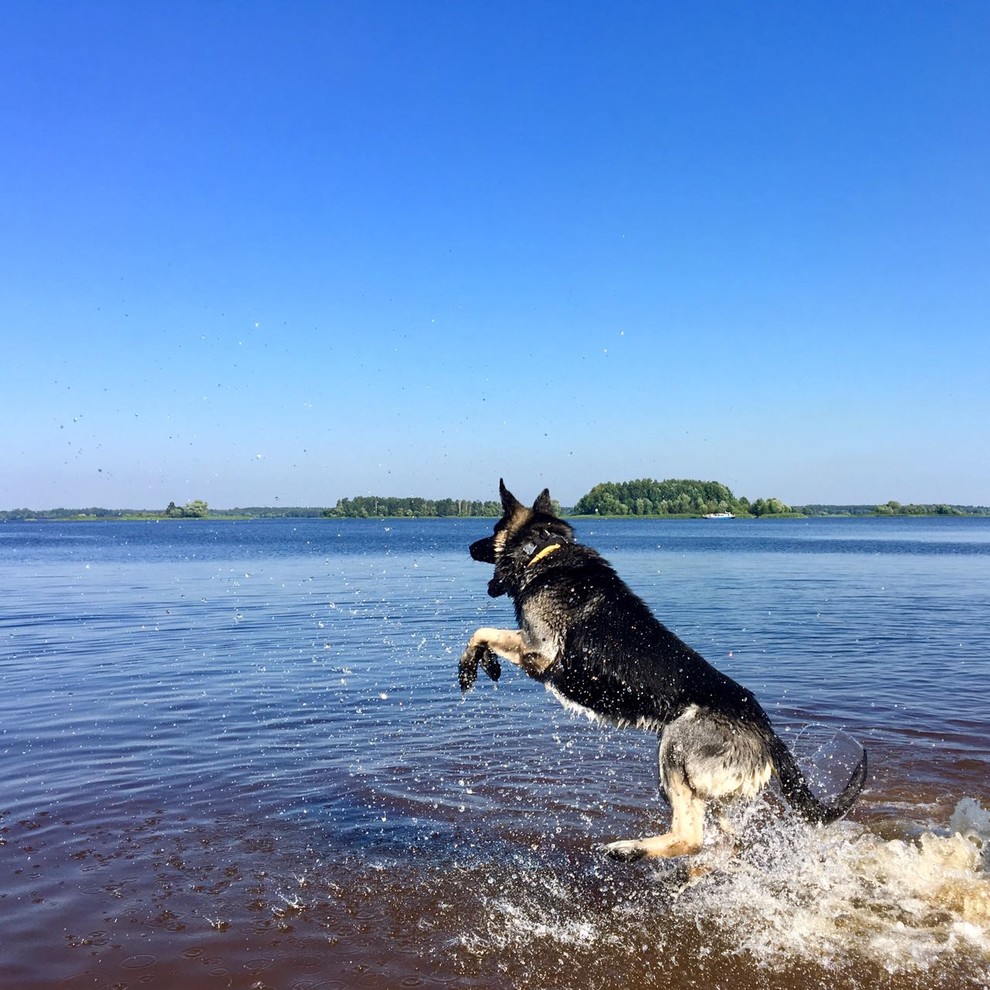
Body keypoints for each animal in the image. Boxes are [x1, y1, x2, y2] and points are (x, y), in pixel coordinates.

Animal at [458, 480, 868, 860]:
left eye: (492, 528)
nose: (468, 546)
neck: (544, 551)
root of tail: (768, 734)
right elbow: (486, 635)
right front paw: (486, 663)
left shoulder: (539, 651)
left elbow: (482, 631)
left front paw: (469, 667)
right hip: (706, 787)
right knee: (724, 839)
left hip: (674, 745)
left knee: (689, 838)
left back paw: (628, 849)